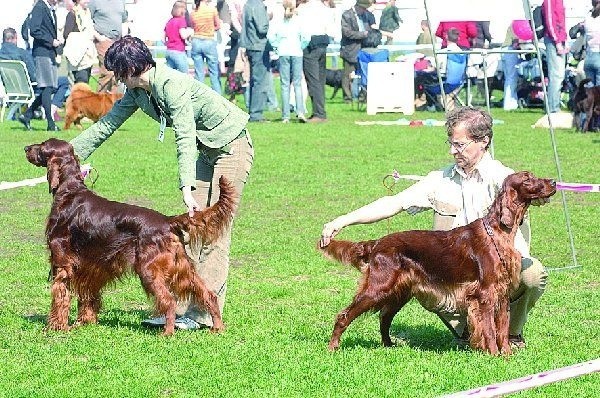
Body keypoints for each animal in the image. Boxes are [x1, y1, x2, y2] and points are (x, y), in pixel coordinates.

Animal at [25, 138, 237, 334]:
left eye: (42, 146)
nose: (26, 148)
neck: (70, 191)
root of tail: (167, 221)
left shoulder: (62, 261)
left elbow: (60, 295)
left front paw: (56, 327)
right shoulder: (90, 266)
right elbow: (87, 296)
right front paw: (84, 322)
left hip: (148, 269)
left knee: (169, 301)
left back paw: (167, 333)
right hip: (183, 268)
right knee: (208, 294)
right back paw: (217, 327)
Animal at [322, 171, 556, 354]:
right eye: (527, 178)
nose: (554, 182)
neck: (498, 231)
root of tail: (376, 243)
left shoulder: (502, 292)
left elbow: (502, 327)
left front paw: (506, 353)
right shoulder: (486, 293)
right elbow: (490, 329)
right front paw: (494, 354)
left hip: (399, 292)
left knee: (384, 317)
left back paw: (388, 345)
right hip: (378, 287)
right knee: (344, 315)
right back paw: (333, 347)